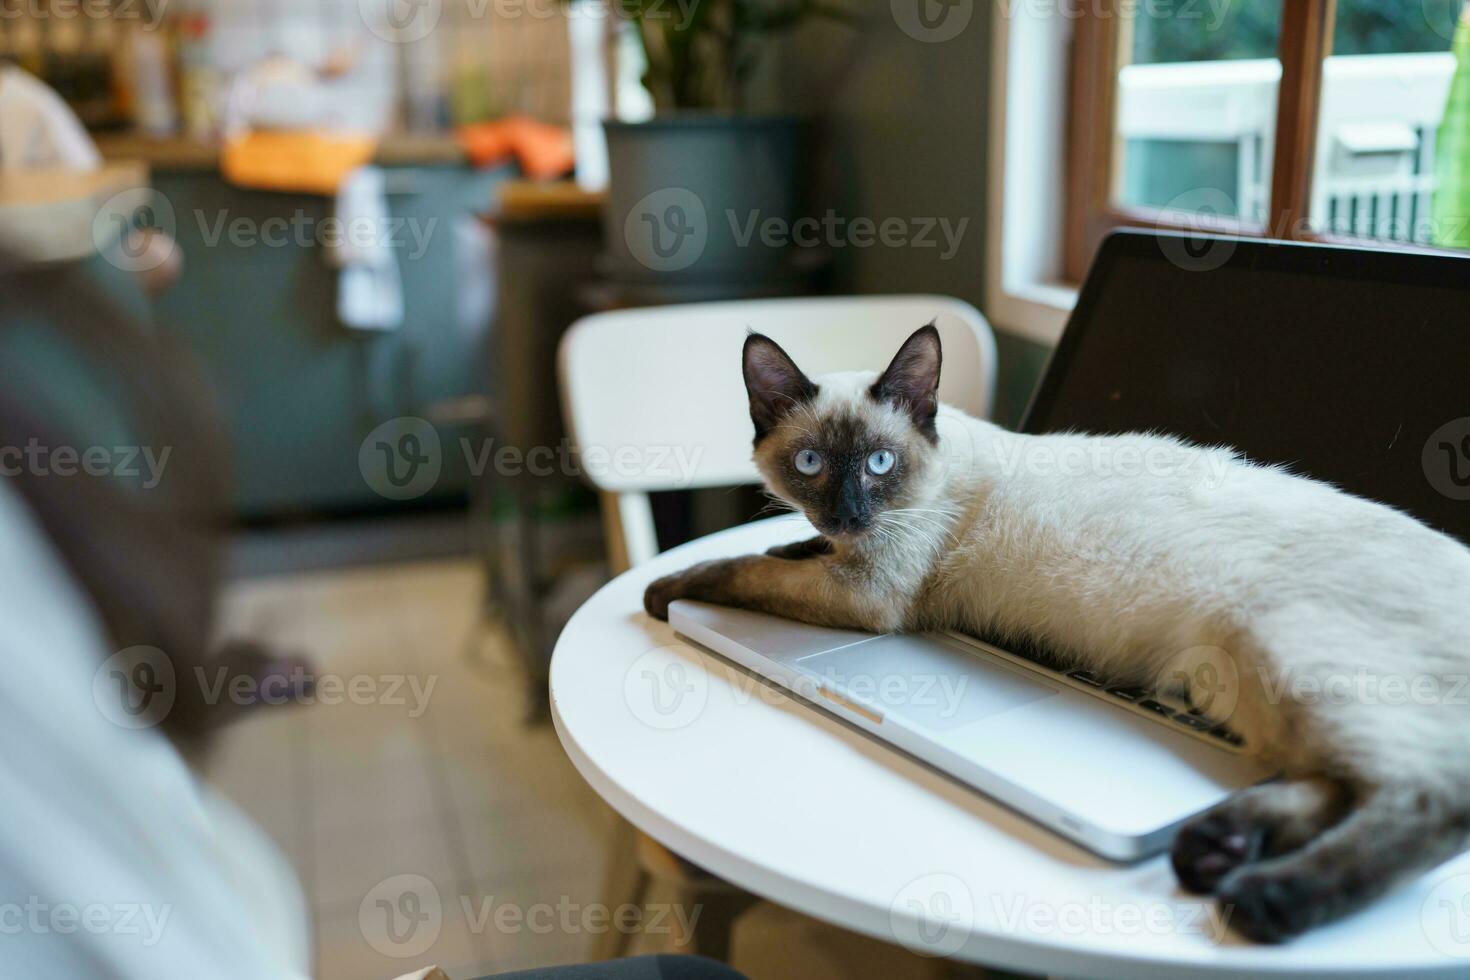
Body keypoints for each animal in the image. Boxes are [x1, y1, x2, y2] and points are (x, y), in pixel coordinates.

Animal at [643, 326, 1470, 946]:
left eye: (879, 463)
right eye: (810, 464)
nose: (847, 512)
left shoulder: (869, 593)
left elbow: (738, 568)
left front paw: (661, 590)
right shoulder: (845, 560)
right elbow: (786, 550)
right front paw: (791, 540)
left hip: (1280, 647)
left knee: (1430, 796)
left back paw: (1264, 899)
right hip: (1251, 683)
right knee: (1341, 781)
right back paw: (1217, 850)